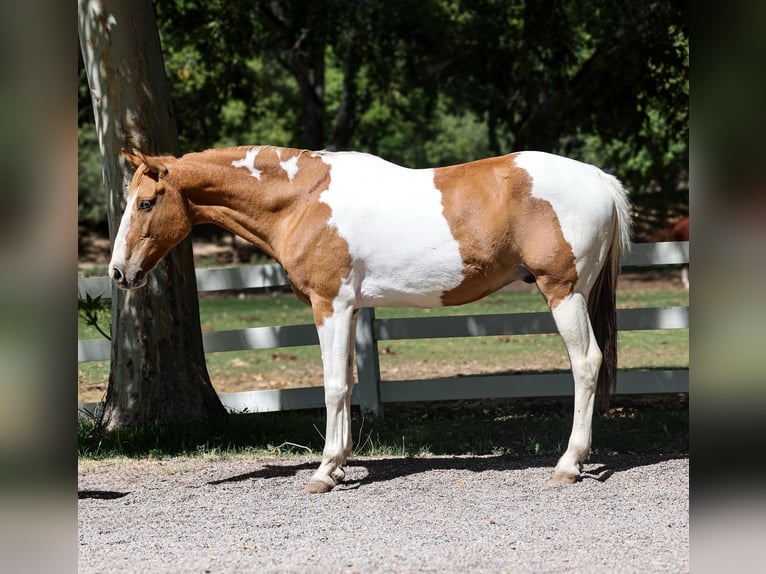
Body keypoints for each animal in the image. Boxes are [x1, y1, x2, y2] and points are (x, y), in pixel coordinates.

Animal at [109, 145, 632, 492]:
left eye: (146, 202)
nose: (119, 272)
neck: (303, 198)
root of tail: (598, 178)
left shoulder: (331, 305)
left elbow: (333, 385)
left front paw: (324, 472)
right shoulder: (352, 309)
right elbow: (351, 382)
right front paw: (340, 464)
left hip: (563, 292)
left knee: (586, 363)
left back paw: (569, 463)